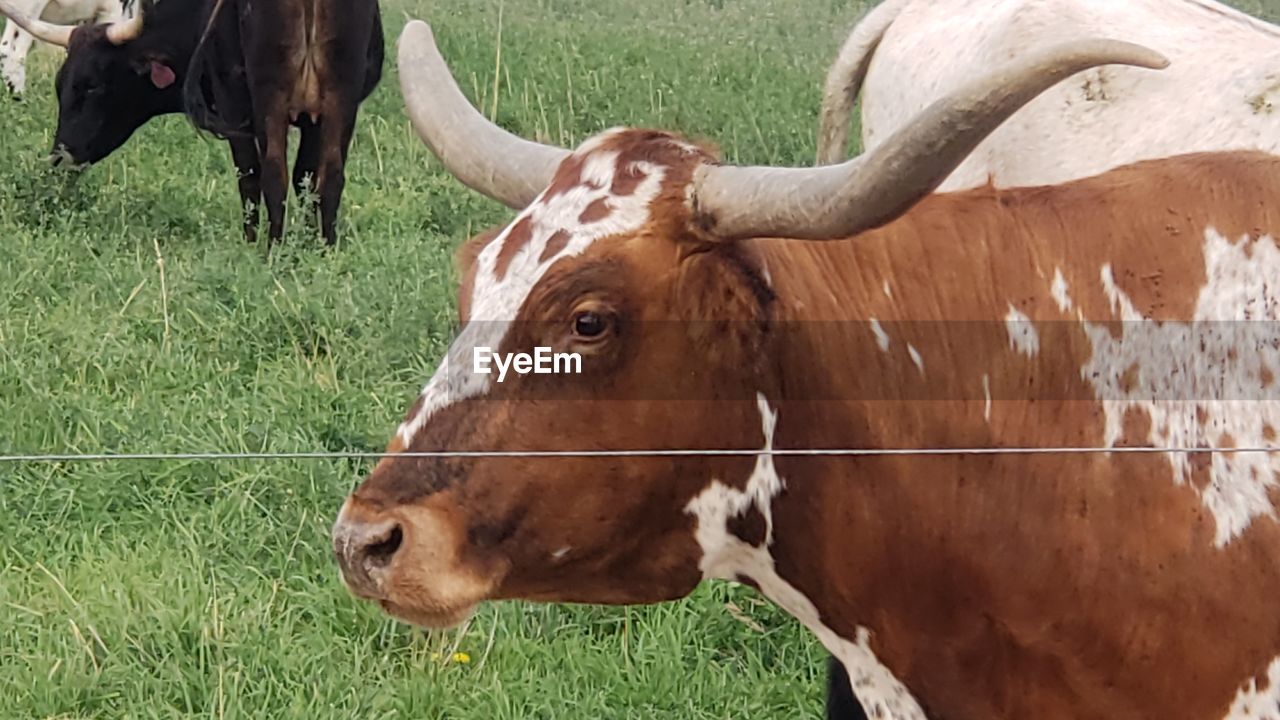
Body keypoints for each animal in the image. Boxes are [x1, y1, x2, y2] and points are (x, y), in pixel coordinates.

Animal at [0, 0, 381, 243]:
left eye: (93, 85)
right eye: (60, 85)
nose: (58, 157)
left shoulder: (234, 110)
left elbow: (250, 178)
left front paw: (252, 241)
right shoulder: (317, 119)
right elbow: (307, 179)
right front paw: (312, 242)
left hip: (270, 102)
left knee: (274, 175)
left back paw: (270, 250)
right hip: (340, 102)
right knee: (329, 177)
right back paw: (325, 247)